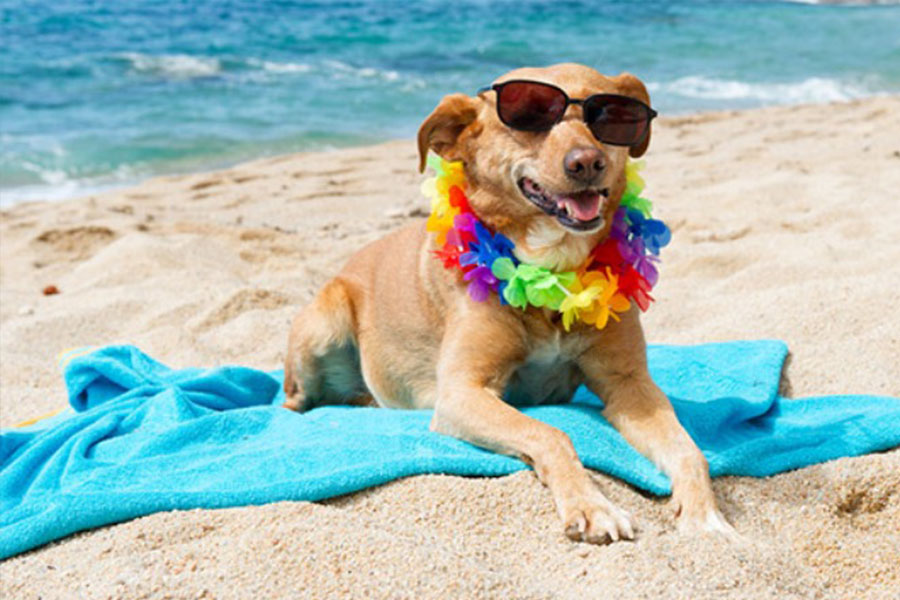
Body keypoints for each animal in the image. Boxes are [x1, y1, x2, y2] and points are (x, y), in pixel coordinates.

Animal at [284, 64, 736, 544]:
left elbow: (689, 450)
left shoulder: (630, 387)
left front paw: (706, 516)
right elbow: (552, 433)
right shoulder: (462, 392)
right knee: (293, 398)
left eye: (610, 115)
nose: (587, 162)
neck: (553, 271)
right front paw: (593, 506)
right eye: (529, 115)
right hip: (324, 322)